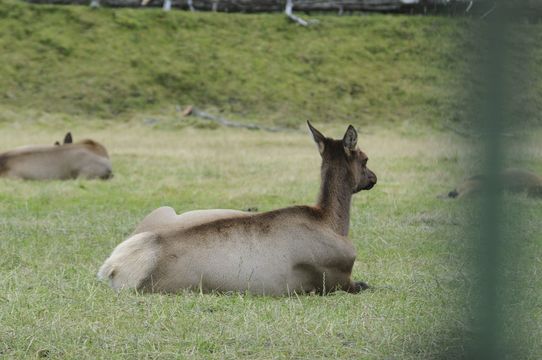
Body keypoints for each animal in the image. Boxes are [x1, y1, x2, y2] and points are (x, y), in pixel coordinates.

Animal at [99, 121, 378, 296]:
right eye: (365, 159)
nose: (373, 178)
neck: (331, 220)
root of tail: (113, 266)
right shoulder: (337, 281)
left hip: (165, 209)